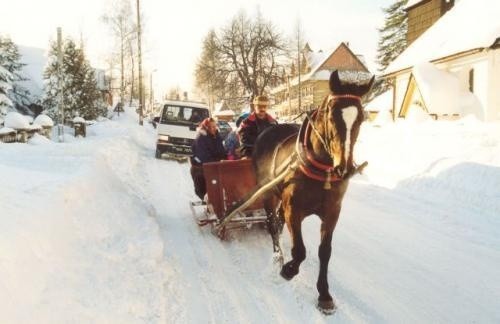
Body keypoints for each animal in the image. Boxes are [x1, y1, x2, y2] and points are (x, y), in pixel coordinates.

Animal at [254, 69, 372, 312]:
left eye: (361, 118)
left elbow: (324, 251)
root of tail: (268, 130)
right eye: (331, 115)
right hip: (267, 193)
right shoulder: (294, 208)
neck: (322, 168)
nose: (345, 168)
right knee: (272, 224)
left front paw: (324, 294)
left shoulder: (333, 211)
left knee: (278, 222)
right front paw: (289, 269)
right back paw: (278, 257)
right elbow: (300, 250)